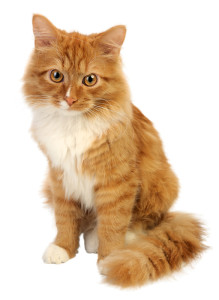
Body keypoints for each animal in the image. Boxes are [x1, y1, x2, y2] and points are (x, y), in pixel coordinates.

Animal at [23, 15, 206, 288]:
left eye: (90, 79)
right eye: (56, 75)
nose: (70, 100)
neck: (74, 125)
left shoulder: (117, 181)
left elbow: (113, 223)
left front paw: (109, 257)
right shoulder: (59, 177)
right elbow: (65, 218)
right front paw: (63, 247)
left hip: (162, 184)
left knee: (143, 221)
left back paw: (116, 240)